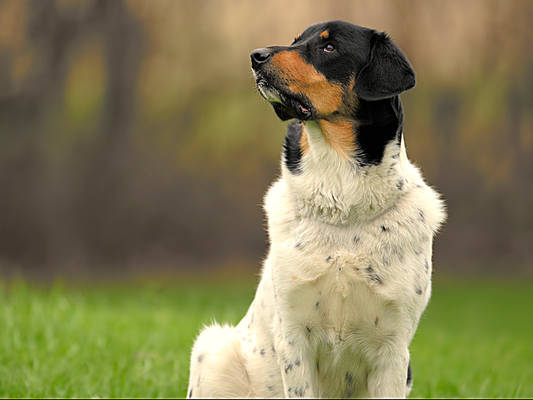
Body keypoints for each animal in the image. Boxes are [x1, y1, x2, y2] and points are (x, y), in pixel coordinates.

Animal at [187, 20, 444, 398]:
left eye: (329, 47)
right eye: (296, 40)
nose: (256, 55)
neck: (344, 206)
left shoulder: (394, 348)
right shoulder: (295, 340)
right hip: (213, 348)